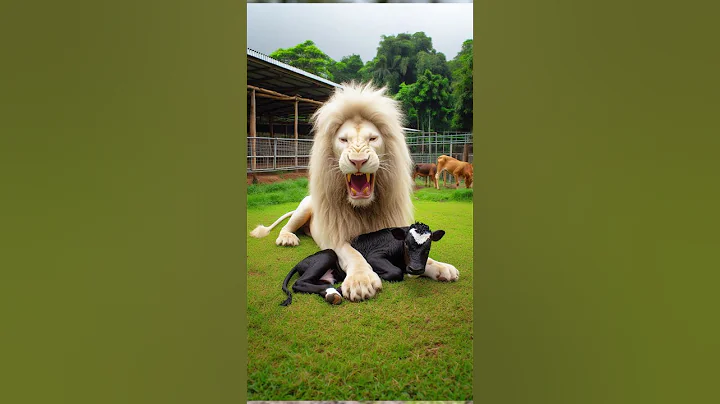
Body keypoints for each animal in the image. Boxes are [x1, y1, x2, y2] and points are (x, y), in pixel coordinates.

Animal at [280, 222, 451, 306]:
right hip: (327, 255)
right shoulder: (374, 256)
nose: (415, 268)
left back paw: (333, 292)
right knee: (299, 283)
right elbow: (396, 272)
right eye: (406, 244)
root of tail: (300, 262)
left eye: (428, 247)